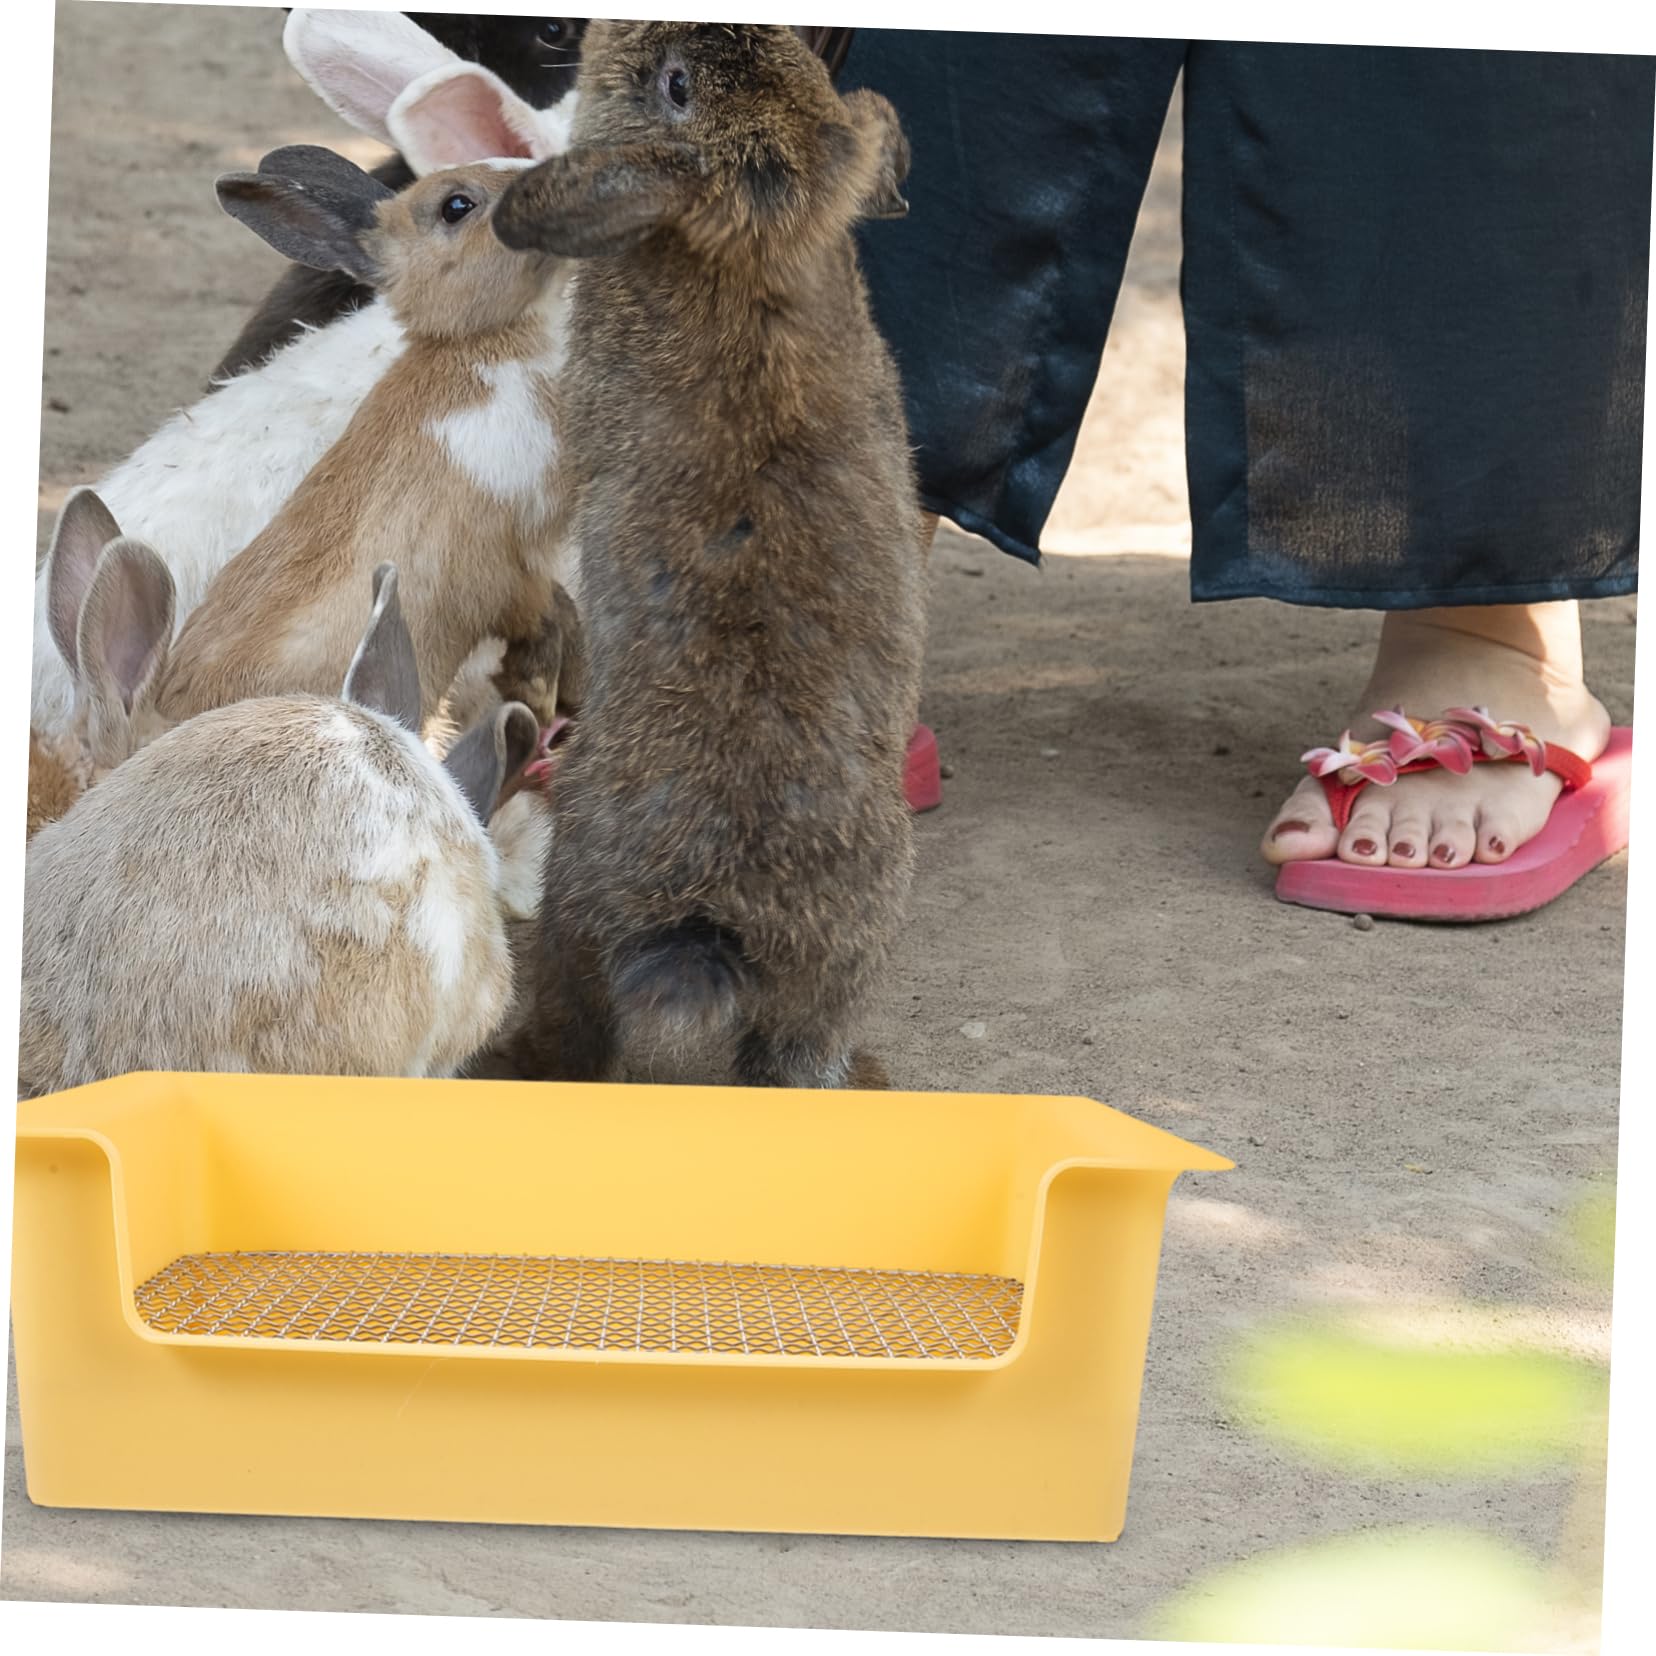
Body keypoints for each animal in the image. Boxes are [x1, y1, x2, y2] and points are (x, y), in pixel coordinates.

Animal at [489, 23, 924, 1090]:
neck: (749, 257)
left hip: (577, 907)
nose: (605, 31)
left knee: (569, 1030)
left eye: (675, 85)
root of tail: (710, 932)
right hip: (830, 978)